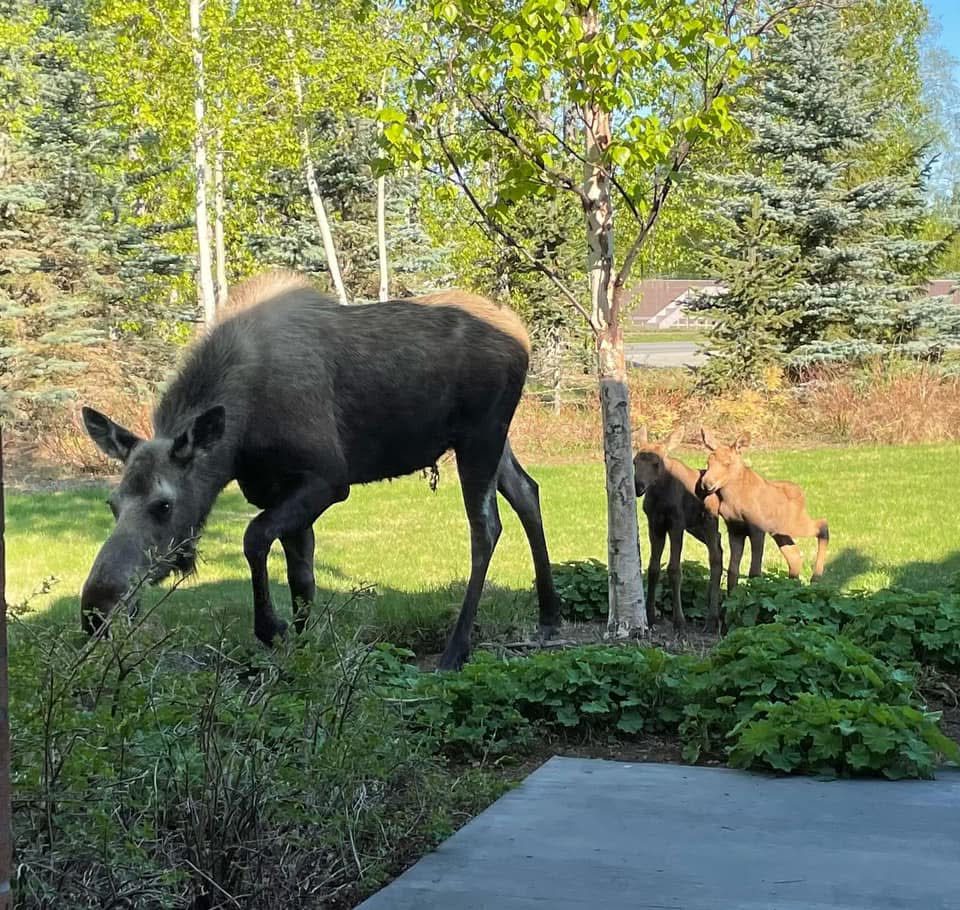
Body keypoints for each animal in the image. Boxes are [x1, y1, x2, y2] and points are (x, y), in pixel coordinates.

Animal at [699, 428, 829, 582]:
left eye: (727, 463)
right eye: (708, 462)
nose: (706, 484)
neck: (732, 499)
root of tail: (802, 494)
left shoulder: (757, 527)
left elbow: (754, 570)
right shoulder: (735, 528)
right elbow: (733, 570)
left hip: (793, 523)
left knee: (822, 525)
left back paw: (816, 577)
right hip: (780, 531)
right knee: (794, 555)